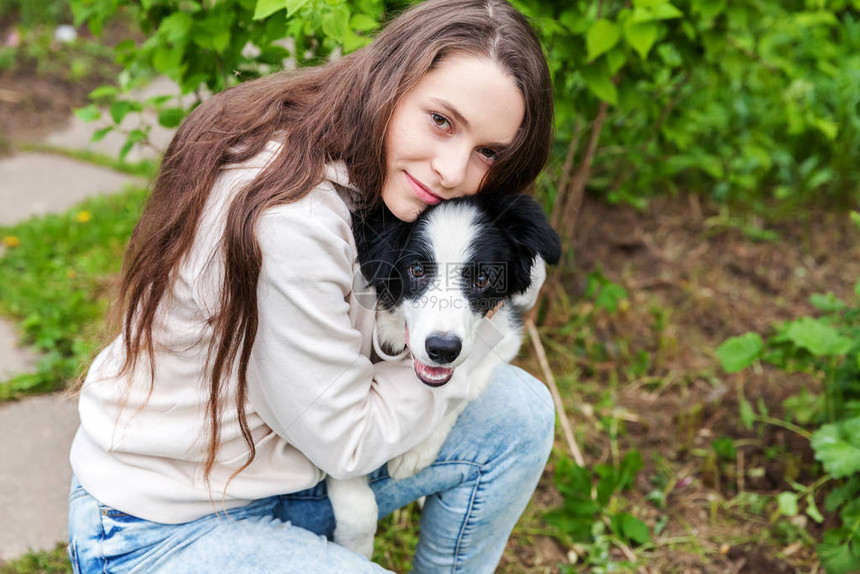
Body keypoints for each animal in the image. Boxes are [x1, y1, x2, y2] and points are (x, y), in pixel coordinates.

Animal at [326, 194, 560, 560]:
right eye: (417, 270)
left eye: (483, 279)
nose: (443, 349)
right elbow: (350, 480)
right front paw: (356, 548)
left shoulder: (505, 336)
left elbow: (464, 388)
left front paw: (418, 451)